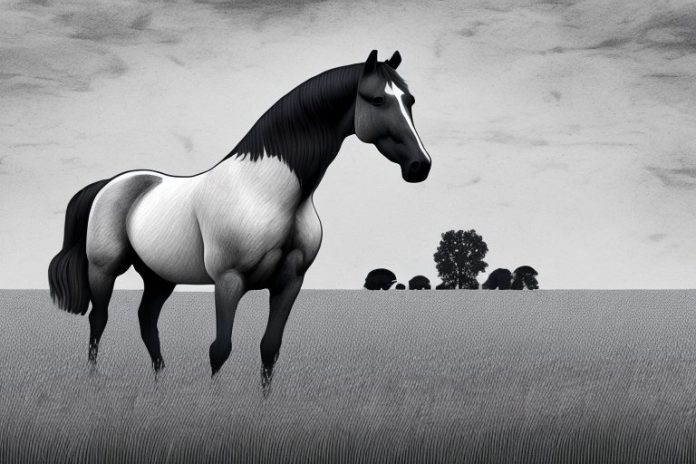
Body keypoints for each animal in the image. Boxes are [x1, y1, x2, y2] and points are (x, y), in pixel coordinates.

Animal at [48, 50, 431, 393]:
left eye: (410, 100)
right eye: (377, 99)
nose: (420, 165)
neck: (266, 190)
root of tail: (111, 184)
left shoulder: (290, 282)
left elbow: (269, 349)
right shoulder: (228, 280)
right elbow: (220, 349)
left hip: (159, 277)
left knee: (147, 323)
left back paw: (159, 385)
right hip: (104, 268)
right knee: (98, 320)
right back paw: (94, 380)